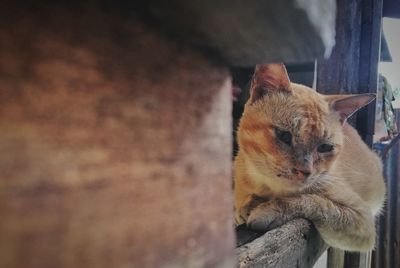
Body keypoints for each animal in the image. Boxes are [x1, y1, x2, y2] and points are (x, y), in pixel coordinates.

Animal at [236, 63, 386, 251]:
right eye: (284, 135)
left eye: (325, 147)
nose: (305, 171)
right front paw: (247, 206)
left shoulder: (361, 220)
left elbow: (313, 202)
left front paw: (266, 210)